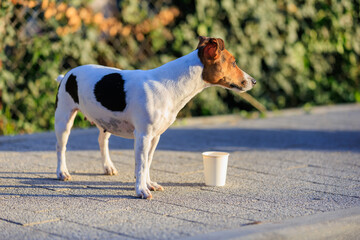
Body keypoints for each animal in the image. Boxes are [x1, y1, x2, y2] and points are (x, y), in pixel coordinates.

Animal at [54, 36, 256, 199]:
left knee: (102, 141)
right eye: (234, 63)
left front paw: (149, 184)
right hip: (64, 120)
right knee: (60, 148)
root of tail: (67, 75)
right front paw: (141, 190)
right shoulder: (143, 136)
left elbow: (148, 163)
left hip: (107, 122)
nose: (254, 81)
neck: (170, 85)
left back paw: (108, 167)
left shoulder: (155, 137)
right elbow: (141, 164)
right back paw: (62, 172)